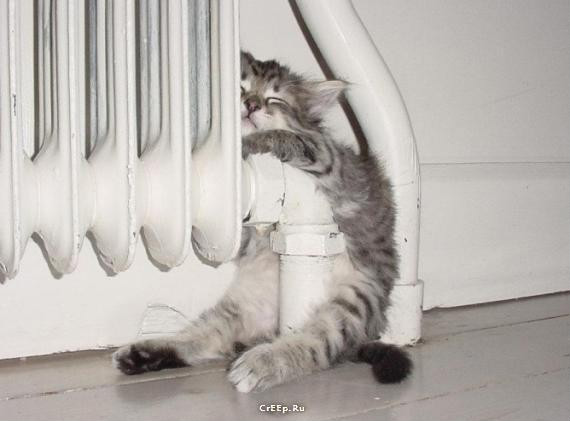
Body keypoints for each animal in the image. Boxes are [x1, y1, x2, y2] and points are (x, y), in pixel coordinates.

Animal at [113, 51, 412, 392]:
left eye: (274, 99)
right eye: (240, 87)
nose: (252, 104)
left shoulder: (332, 163)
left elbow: (287, 137)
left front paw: (249, 144)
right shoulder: (234, 233)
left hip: (355, 302)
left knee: (317, 346)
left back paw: (262, 363)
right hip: (238, 308)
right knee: (205, 338)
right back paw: (144, 354)